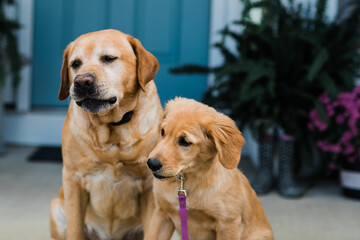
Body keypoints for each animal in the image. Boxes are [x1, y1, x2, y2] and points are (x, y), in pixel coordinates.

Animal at [50, 29, 162, 239]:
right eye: (75, 64)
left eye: (109, 58)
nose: (81, 81)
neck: (111, 127)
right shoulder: (73, 180)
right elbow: (75, 228)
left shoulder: (151, 186)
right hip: (57, 209)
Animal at [143, 98, 272, 240]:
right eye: (162, 132)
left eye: (185, 141)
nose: (151, 164)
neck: (188, 181)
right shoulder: (162, 213)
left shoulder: (228, 223)